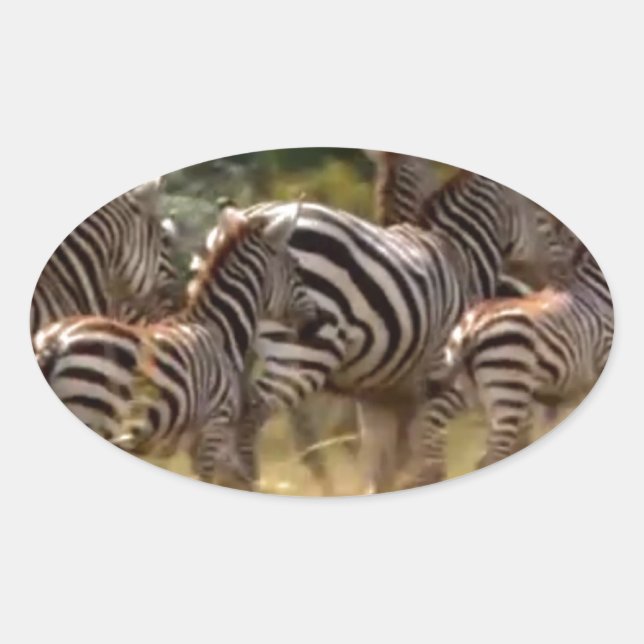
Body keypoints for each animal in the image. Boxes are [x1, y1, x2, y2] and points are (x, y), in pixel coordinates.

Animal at [34, 201, 326, 485]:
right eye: (296, 267)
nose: (317, 324)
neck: (219, 330)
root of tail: (56, 342)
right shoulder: (213, 429)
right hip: (95, 408)